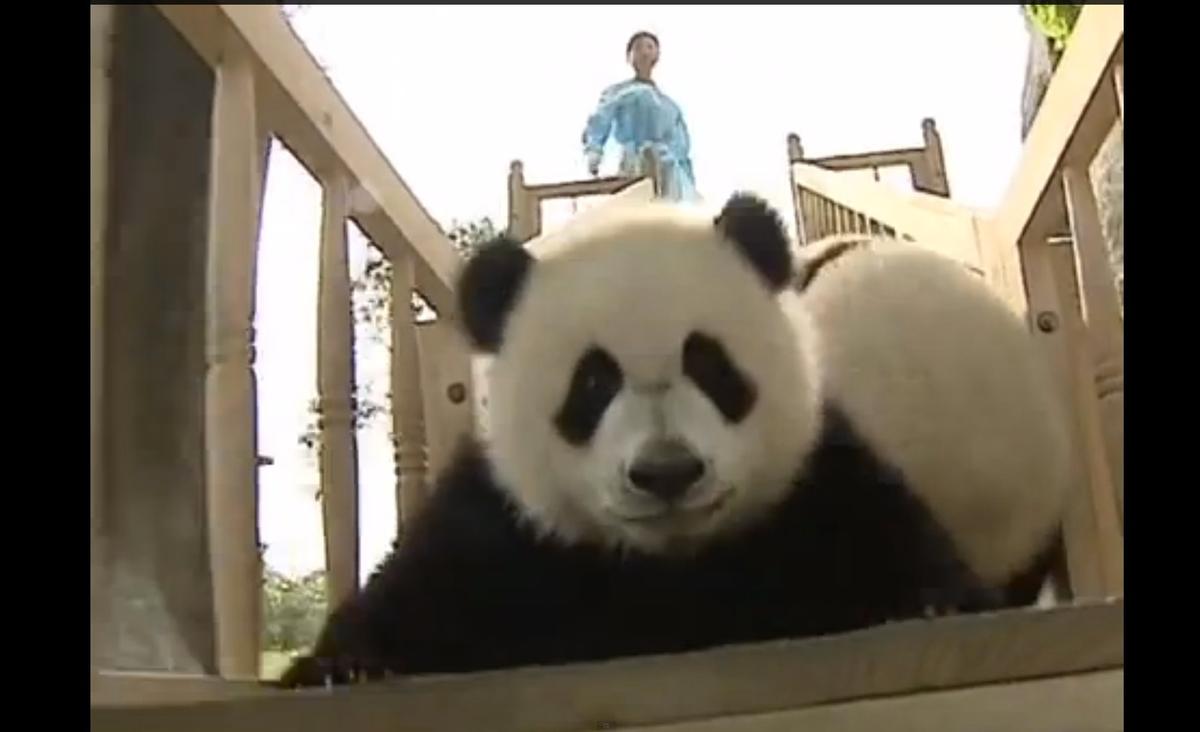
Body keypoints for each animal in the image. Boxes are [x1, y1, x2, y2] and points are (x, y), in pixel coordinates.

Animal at [278, 194, 1016, 688]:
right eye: (593, 382)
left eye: (710, 363)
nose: (667, 473)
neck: (668, 567)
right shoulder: (504, 524)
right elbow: (424, 586)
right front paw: (343, 666)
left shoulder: (814, 483)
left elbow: (884, 528)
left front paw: (933, 603)